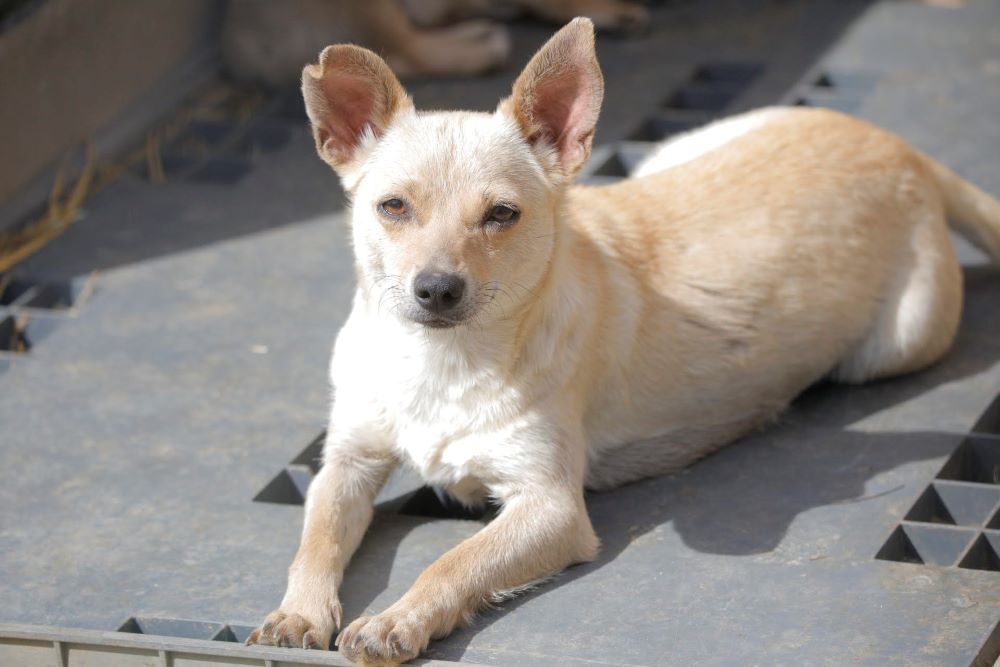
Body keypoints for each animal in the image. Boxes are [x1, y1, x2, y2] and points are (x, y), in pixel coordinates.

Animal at [244, 18, 1000, 664]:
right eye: (392, 207)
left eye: (501, 216)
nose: (435, 288)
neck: (442, 363)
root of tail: (903, 147)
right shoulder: (346, 461)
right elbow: (314, 539)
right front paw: (298, 612)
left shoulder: (549, 506)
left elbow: (453, 561)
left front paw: (398, 618)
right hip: (675, 151)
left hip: (897, 342)